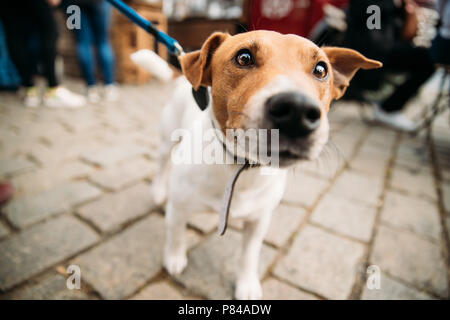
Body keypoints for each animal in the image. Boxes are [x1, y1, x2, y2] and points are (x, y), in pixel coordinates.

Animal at [149, 30, 382, 300]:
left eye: (321, 69)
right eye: (243, 57)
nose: (297, 109)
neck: (241, 167)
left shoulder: (259, 221)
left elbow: (249, 256)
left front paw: (247, 284)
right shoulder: (178, 208)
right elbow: (175, 235)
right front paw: (174, 259)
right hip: (166, 140)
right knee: (161, 165)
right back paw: (157, 191)